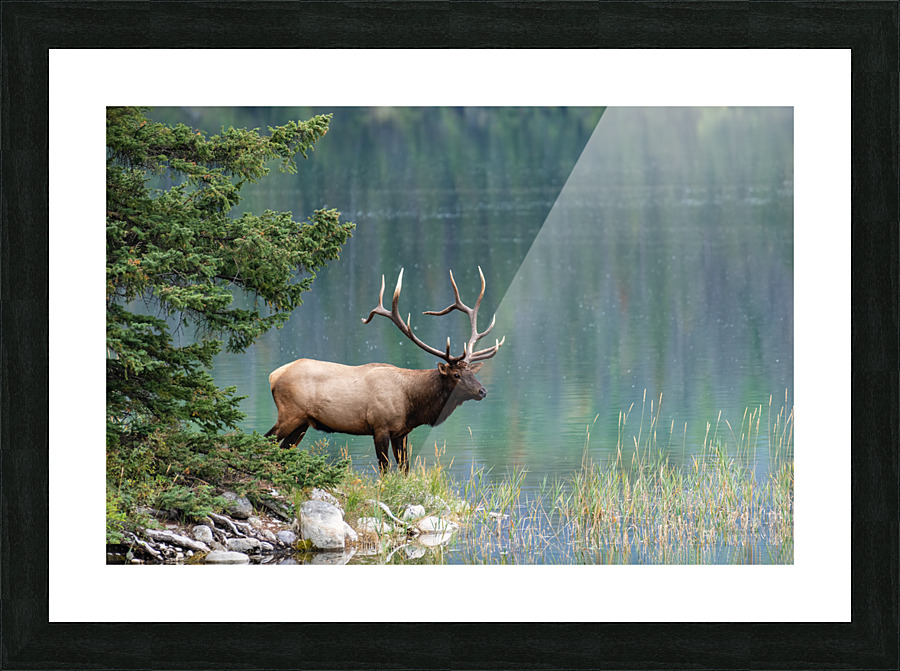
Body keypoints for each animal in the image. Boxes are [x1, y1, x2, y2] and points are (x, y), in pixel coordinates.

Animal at [265, 267, 505, 473]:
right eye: (456, 375)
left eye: (473, 373)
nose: (483, 391)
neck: (412, 403)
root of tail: (273, 376)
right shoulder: (380, 427)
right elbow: (384, 469)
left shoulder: (402, 433)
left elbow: (405, 468)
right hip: (290, 414)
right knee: (267, 440)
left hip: (302, 422)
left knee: (283, 448)